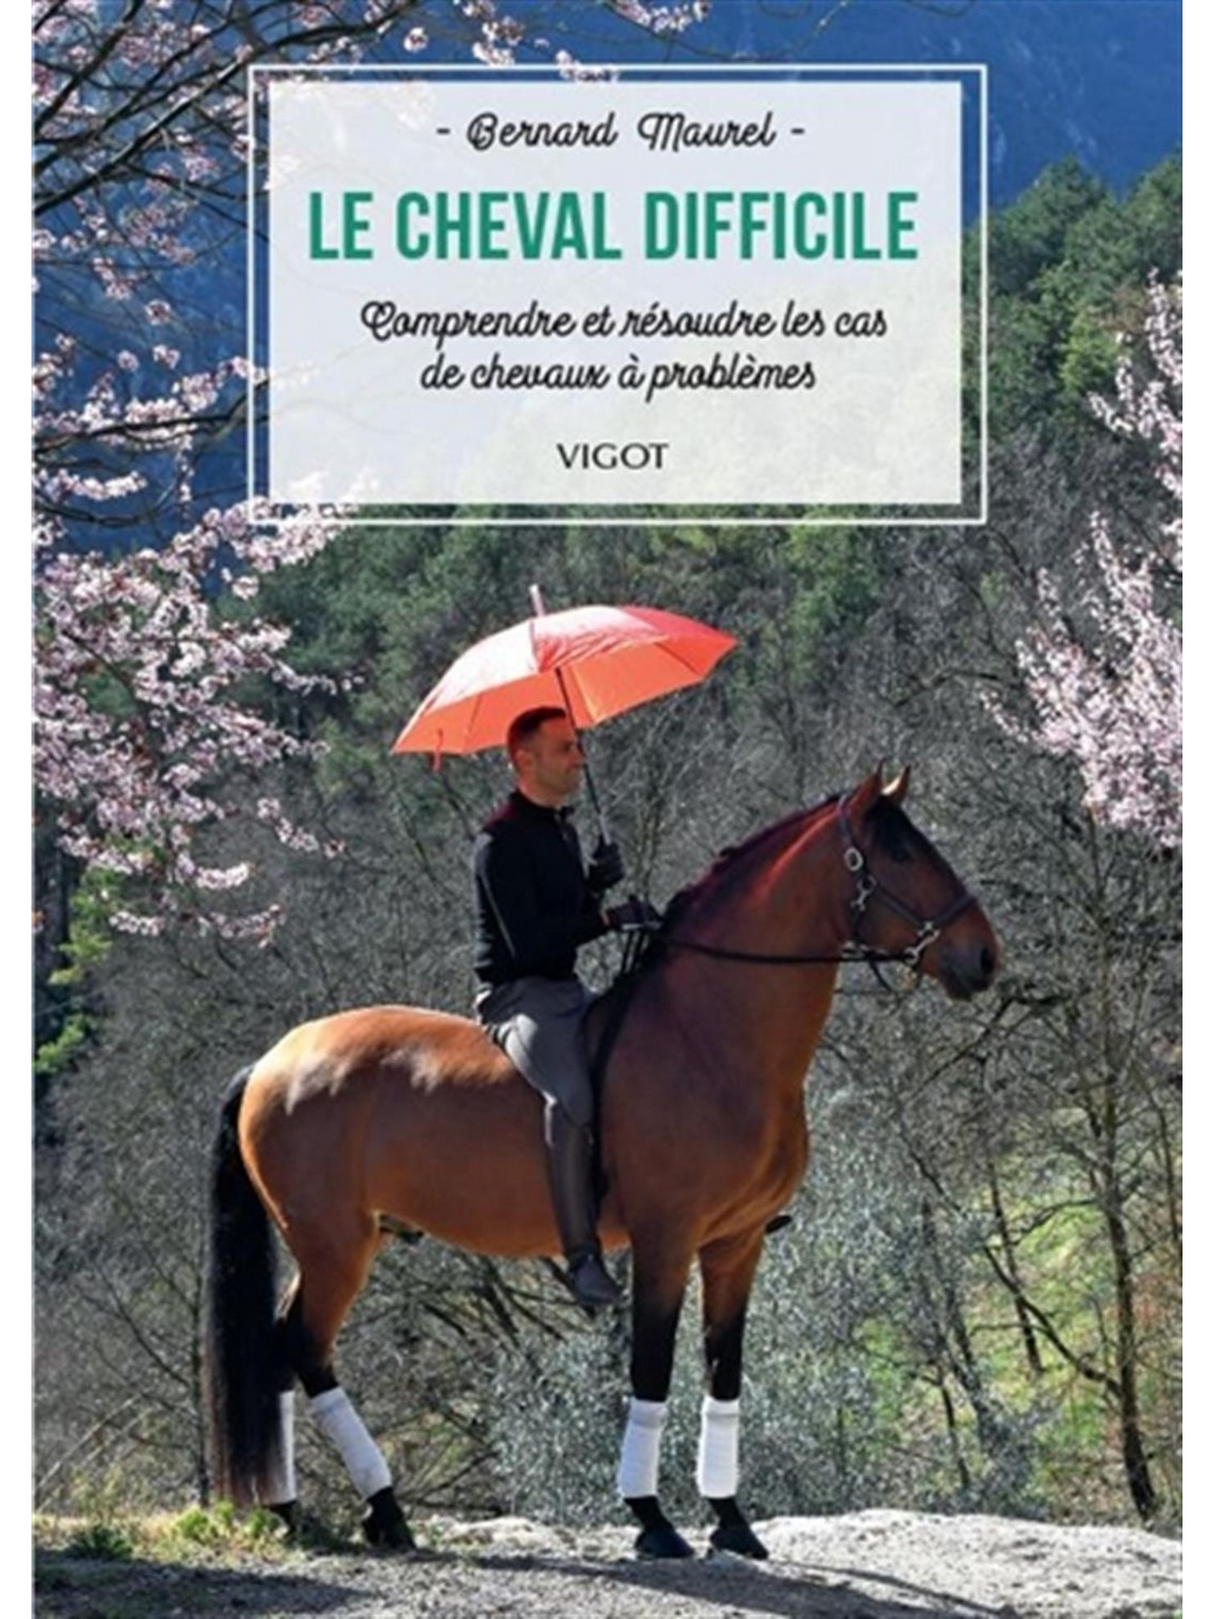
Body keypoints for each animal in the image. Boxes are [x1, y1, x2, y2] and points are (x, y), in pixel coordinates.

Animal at [204, 765, 999, 1557]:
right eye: (900, 854)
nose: (985, 955)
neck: (710, 1038)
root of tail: (273, 1059)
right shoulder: (666, 1241)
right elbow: (652, 1367)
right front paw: (651, 1516)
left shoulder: (736, 1244)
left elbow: (724, 1372)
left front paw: (730, 1517)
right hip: (335, 1247)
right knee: (303, 1349)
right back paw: (382, 1508)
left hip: (339, 1244)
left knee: (278, 1351)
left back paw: (296, 1510)